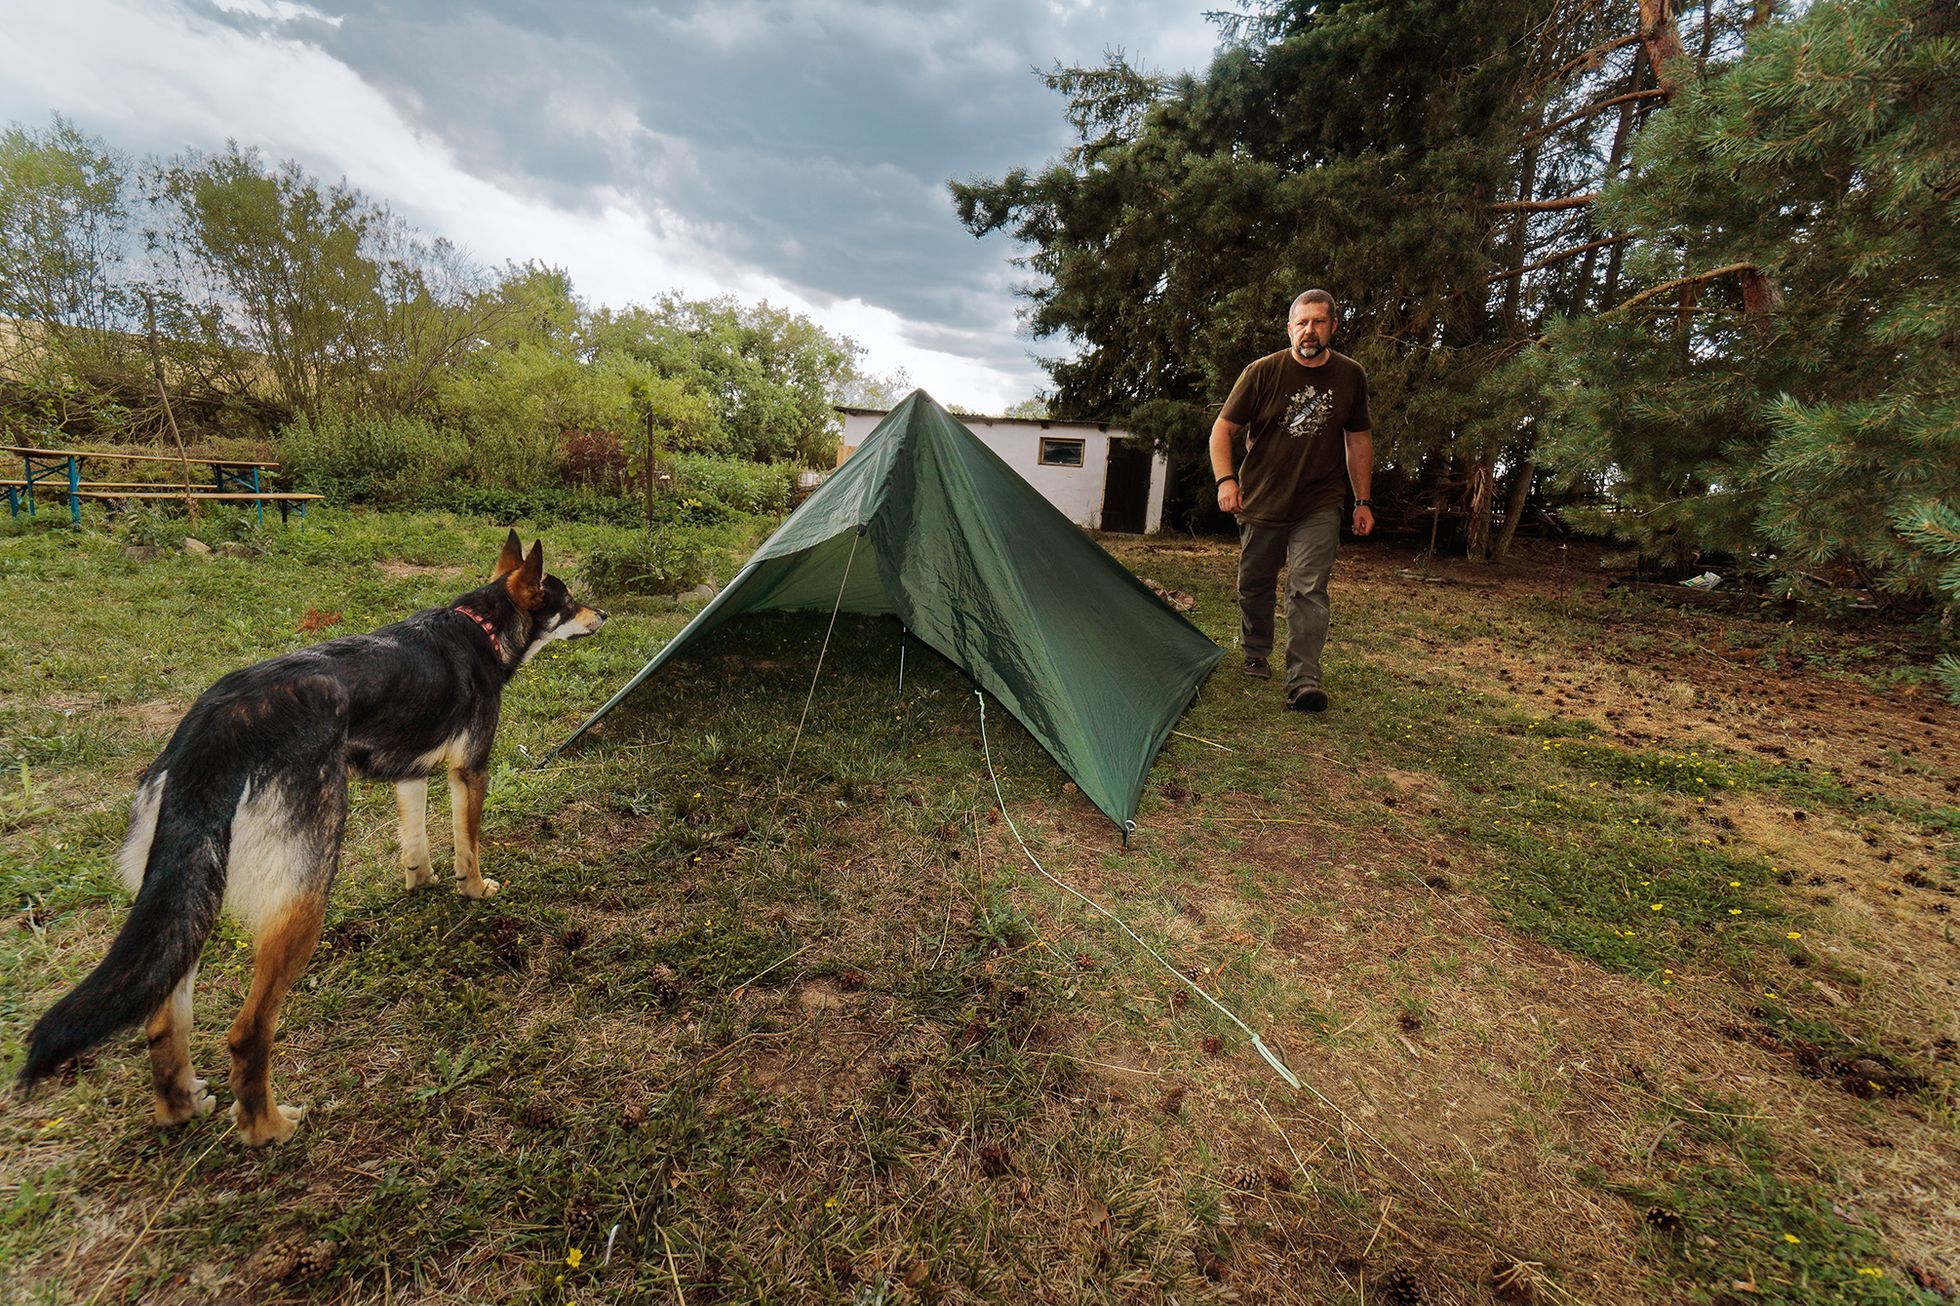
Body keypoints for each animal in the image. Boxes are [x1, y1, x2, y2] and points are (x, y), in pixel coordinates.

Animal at [15, 529, 603, 1137]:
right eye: (568, 598)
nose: (604, 614)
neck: (478, 626)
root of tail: (216, 725)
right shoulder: (470, 770)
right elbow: (469, 845)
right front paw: (475, 888)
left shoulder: (410, 773)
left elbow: (415, 841)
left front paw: (421, 881)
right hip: (303, 894)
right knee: (248, 1032)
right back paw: (267, 1127)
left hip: (189, 902)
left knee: (162, 1020)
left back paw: (182, 1107)